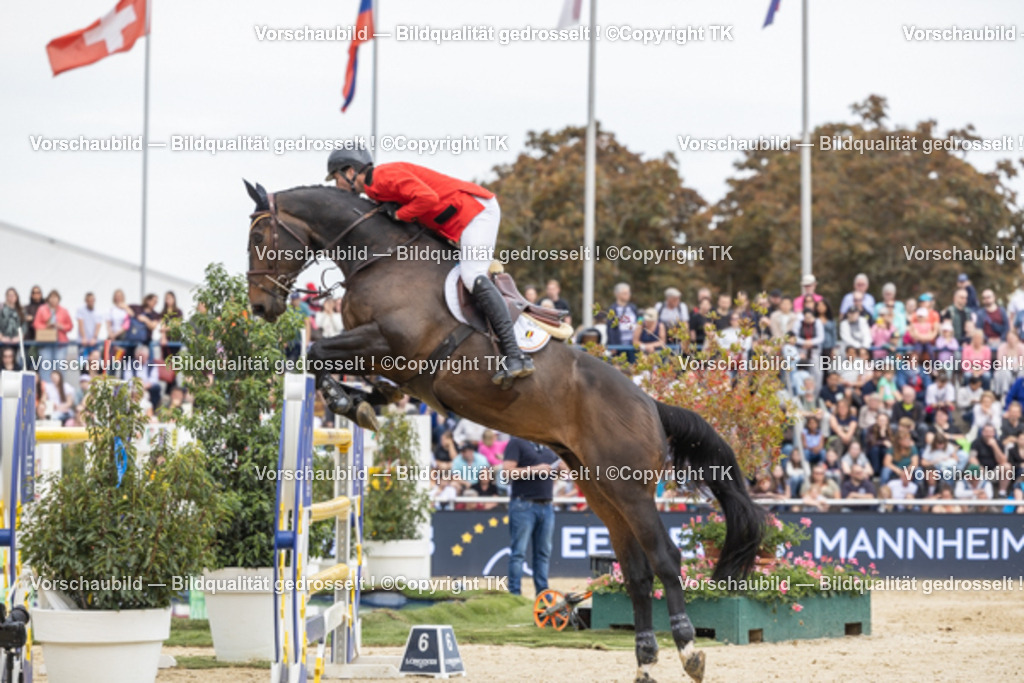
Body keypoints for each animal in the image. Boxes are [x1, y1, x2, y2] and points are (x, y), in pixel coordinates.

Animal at [245, 181, 765, 682]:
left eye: (259, 238)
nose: (260, 307)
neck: (379, 257)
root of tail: (650, 405)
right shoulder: (391, 364)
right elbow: (329, 363)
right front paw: (355, 404)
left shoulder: (388, 343)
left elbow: (314, 352)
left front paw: (346, 401)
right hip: (601, 488)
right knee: (636, 572)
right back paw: (644, 664)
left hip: (632, 490)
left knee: (665, 560)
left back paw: (690, 652)